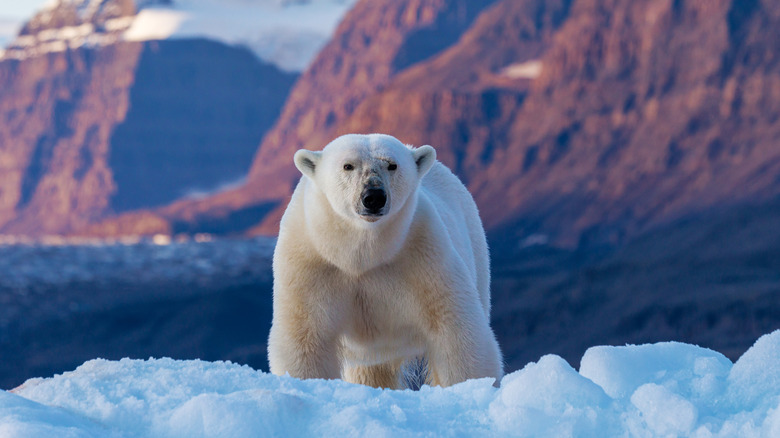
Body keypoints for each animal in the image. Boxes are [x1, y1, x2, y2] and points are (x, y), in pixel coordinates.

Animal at [267, 133, 503, 389]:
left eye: (392, 165)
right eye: (348, 166)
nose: (373, 197)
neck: (361, 256)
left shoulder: (423, 255)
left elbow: (455, 330)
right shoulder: (310, 264)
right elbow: (305, 338)